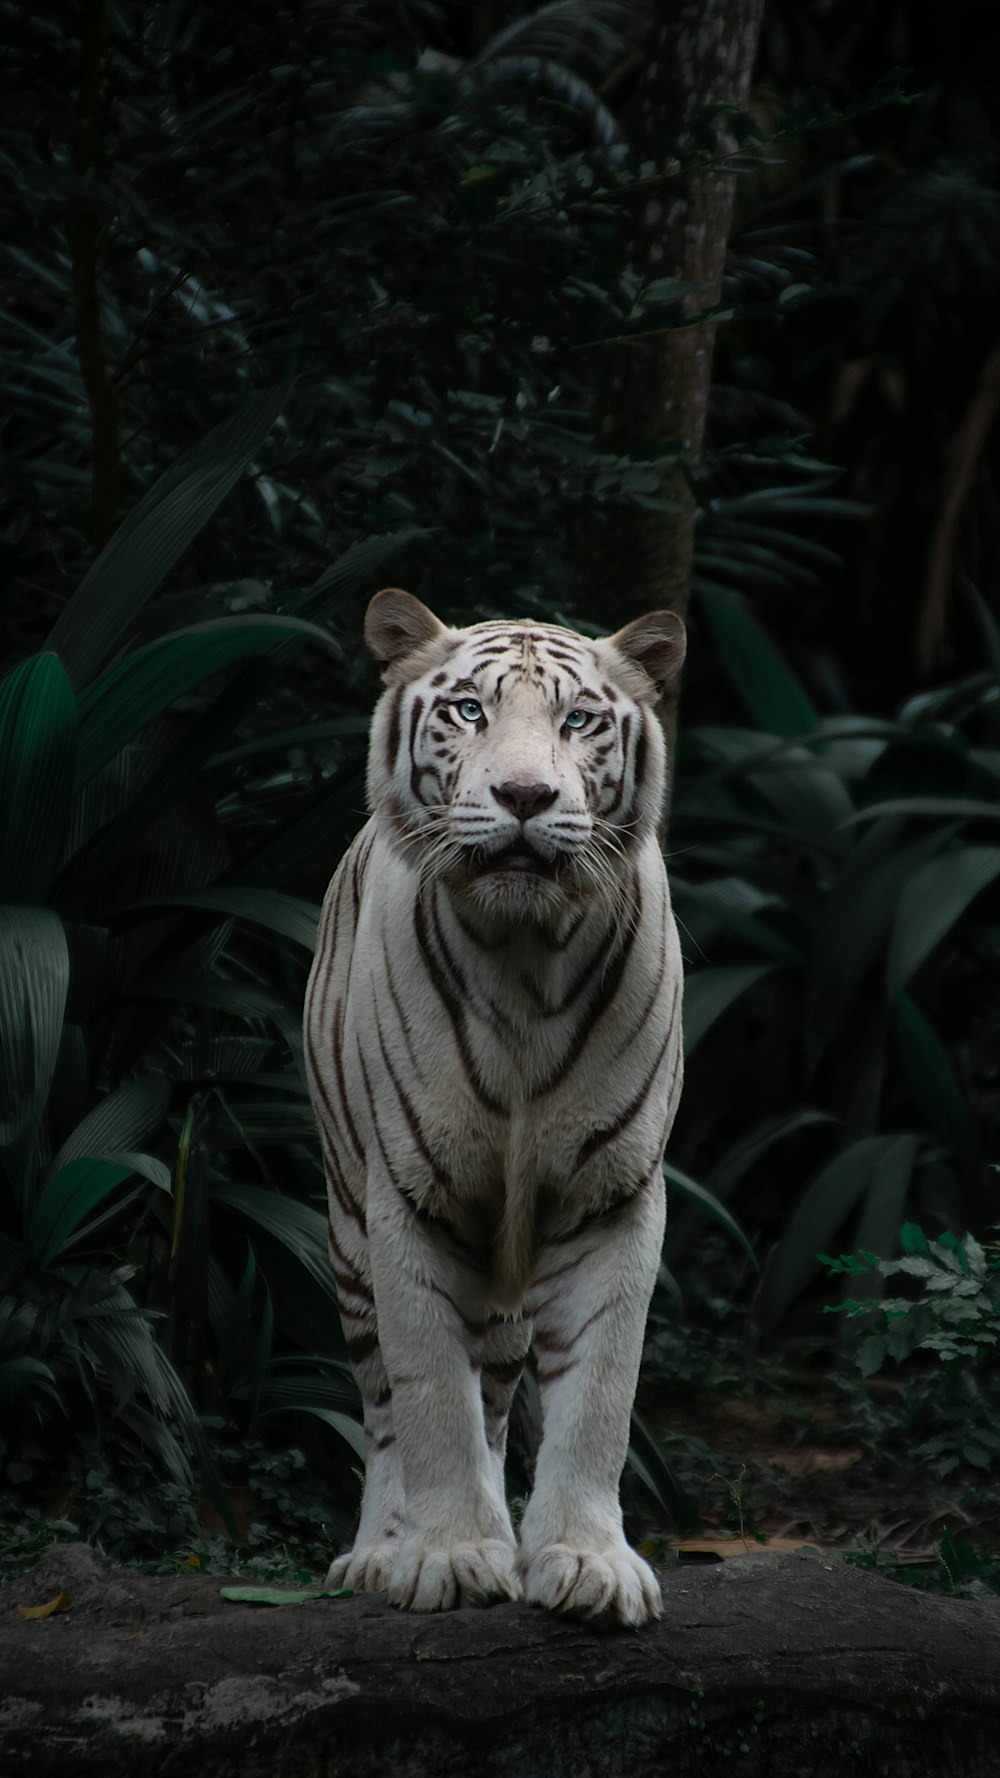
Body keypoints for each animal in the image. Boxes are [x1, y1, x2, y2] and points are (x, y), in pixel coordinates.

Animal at [298, 586, 679, 1628]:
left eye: (578, 720)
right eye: (469, 712)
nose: (524, 797)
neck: (525, 959)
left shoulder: (612, 1197)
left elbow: (599, 1394)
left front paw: (586, 1563)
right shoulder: (408, 1199)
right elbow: (430, 1394)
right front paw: (452, 1557)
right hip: (346, 1229)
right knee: (385, 1404)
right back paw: (379, 1553)